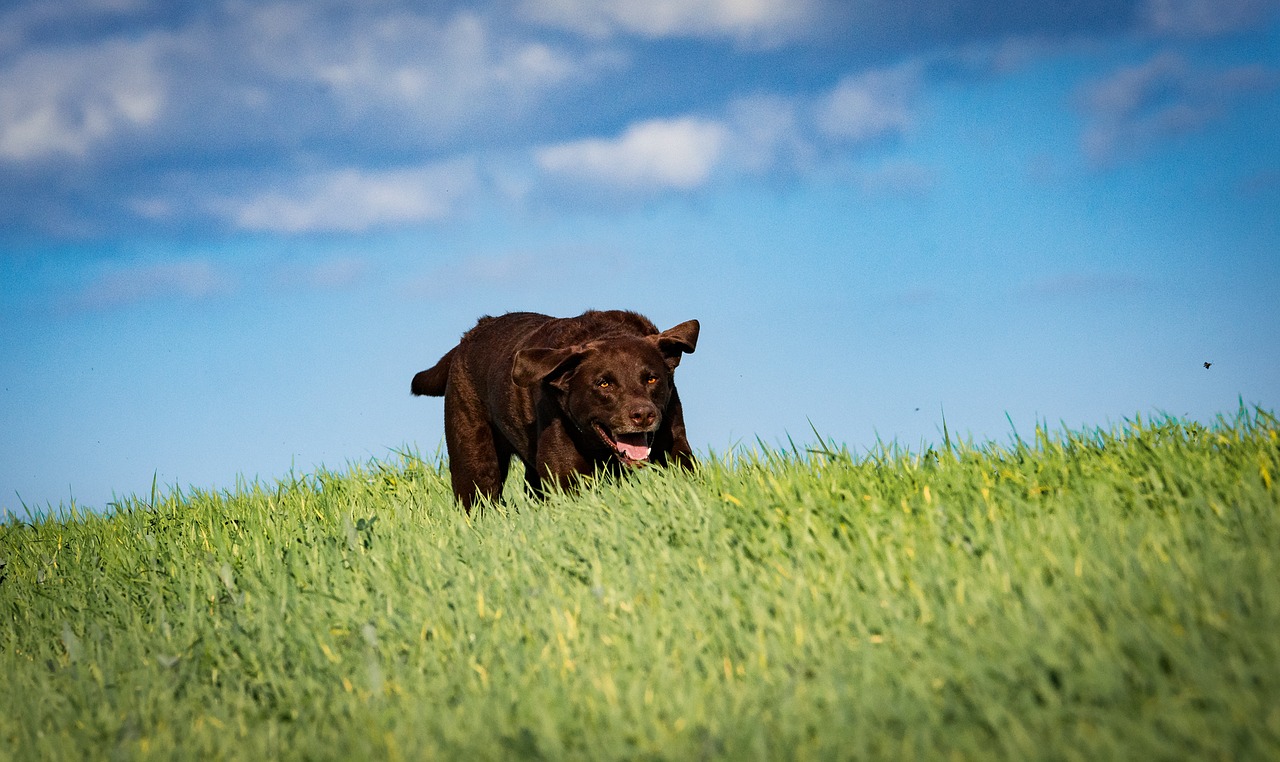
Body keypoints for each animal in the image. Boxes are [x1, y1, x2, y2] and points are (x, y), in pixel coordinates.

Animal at [414, 309, 701, 512]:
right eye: (603, 383)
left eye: (651, 379)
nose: (642, 414)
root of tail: (468, 337)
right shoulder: (563, 472)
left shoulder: (675, 443)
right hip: (474, 461)